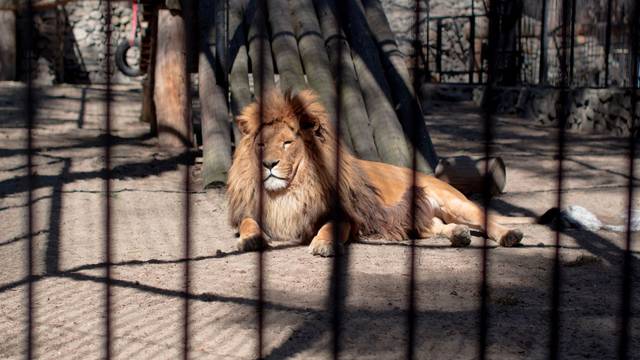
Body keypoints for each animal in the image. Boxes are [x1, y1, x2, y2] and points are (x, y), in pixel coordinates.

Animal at [228, 89, 524, 256]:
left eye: (288, 143)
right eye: (261, 144)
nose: (268, 164)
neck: (290, 190)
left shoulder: (346, 215)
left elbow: (330, 227)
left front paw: (323, 244)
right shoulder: (253, 211)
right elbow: (247, 223)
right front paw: (251, 240)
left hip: (454, 202)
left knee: (485, 218)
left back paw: (509, 235)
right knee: (437, 226)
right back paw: (459, 235)